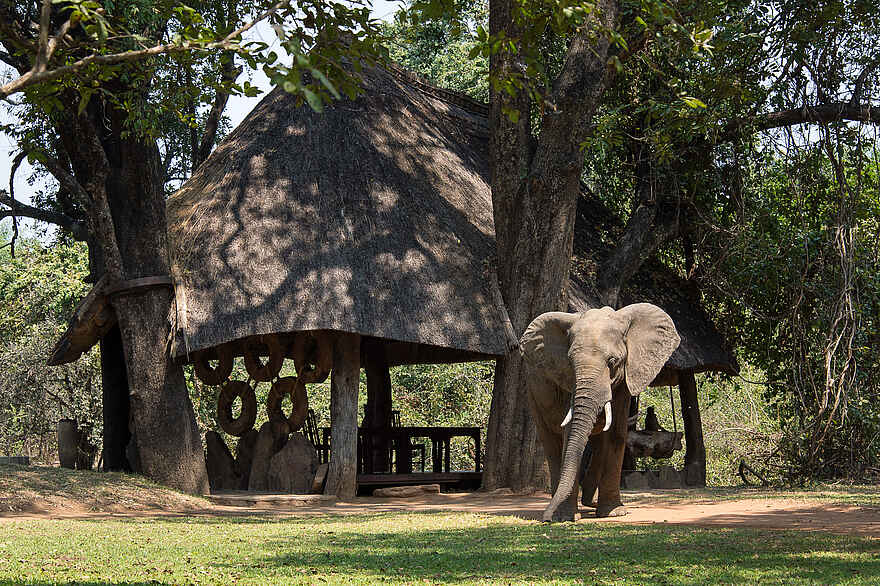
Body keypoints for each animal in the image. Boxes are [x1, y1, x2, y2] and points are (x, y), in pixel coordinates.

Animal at [520, 303, 680, 522]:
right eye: (570, 362)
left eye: (613, 361)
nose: (546, 518)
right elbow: (569, 434)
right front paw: (565, 517)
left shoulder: (625, 380)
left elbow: (616, 433)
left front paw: (614, 513)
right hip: (532, 391)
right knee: (551, 443)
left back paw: (590, 504)